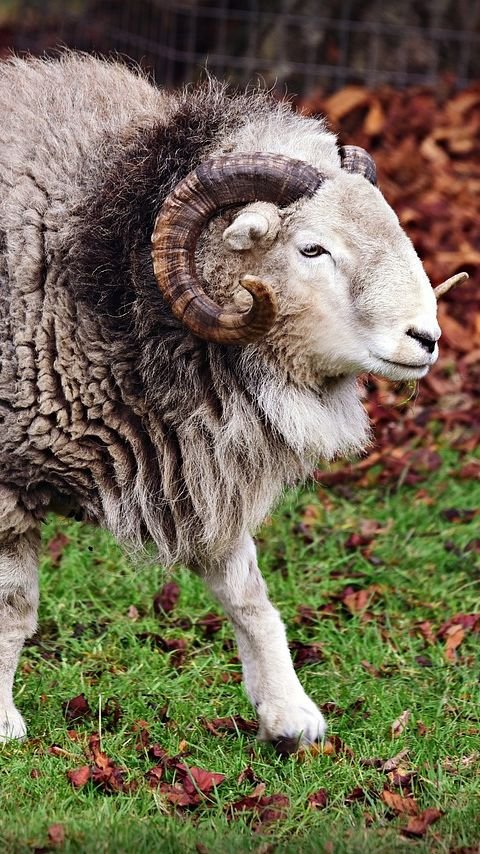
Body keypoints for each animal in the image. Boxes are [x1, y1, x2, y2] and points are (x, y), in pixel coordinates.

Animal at [0, 51, 458, 748]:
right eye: (312, 248)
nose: (426, 339)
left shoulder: (198, 466)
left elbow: (249, 594)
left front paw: (289, 715)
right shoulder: (9, 481)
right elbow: (13, 609)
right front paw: (2, 721)